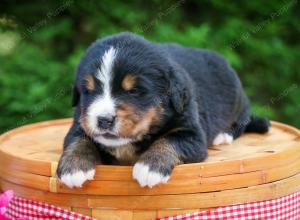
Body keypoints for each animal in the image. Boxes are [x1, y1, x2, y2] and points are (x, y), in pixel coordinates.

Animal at [56, 31, 270, 188]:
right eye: (88, 91)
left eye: (134, 91)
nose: (104, 120)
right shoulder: (80, 122)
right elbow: (78, 140)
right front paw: (74, 167)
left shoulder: (191, 133)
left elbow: (170, 140)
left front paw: (151, 167)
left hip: (239, 101)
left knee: (242, 122)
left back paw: (223, 135)